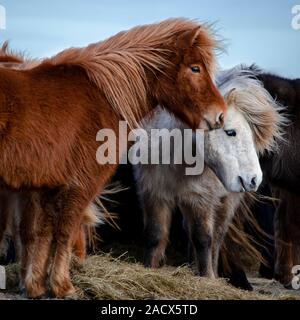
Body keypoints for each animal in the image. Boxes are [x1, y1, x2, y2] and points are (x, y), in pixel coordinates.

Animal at [0, 18, 226, 298]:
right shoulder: (79, 185)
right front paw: (63, 286)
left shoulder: (43, 188)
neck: (102, 98)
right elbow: (64, 231)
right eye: (195, 68)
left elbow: (40, 233)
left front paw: (36, 286)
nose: (220, 116)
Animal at [134, 65, 284, 278]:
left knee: (217, 237)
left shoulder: (200, 197)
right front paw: (149, 268)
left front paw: (208, 277)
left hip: (226, 202)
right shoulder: (153, 192)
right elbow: (155, 235)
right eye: (231, 132)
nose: (254, 179)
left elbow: (203, 239)